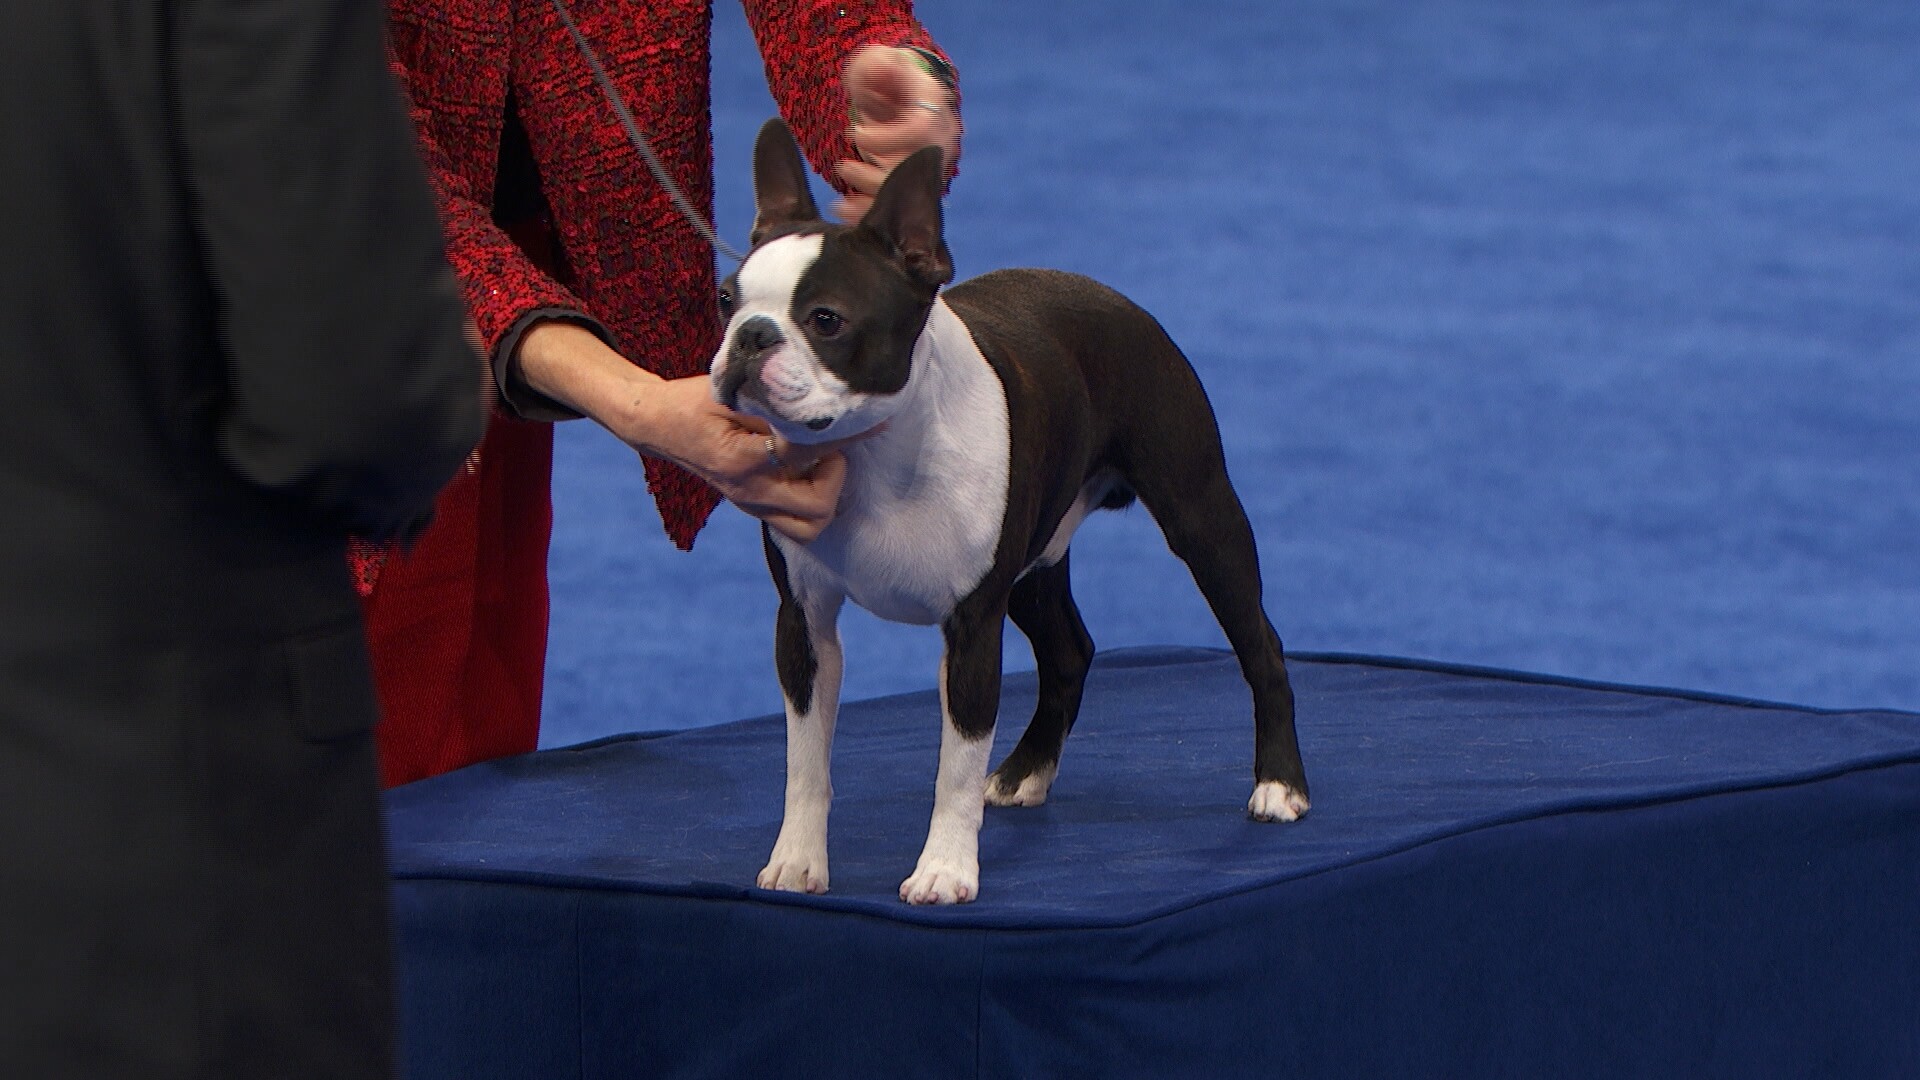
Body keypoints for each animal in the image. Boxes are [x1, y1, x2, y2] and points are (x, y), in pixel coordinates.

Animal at [714, 122, 1313, 903]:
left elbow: (955, 764)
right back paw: (1027, 769)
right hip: (1033, 563)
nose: (751, 335)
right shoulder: (805, 621)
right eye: (726, 299)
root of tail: (1105, 293)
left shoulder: (973, 624)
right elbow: (806, 760)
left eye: (826, 320)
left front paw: (943, 870)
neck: (874, 453)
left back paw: (1279, 785)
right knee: (1069, 651)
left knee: (1260, 643)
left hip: (1200, 515)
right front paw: (797, 861)